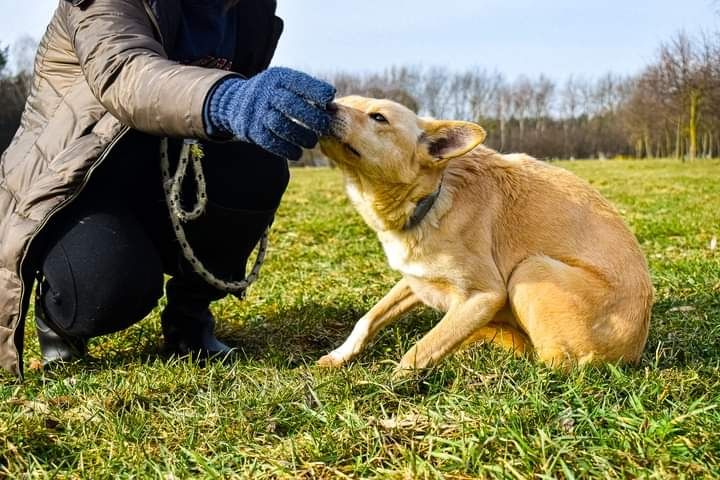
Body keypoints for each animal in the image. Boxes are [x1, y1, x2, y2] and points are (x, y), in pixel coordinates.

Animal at [318, 95, 656, 376]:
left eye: (378, 117)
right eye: (345, 99)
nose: (326, 104)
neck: (431, 198)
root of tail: (631, 353)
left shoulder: (485, 296)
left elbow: (419, 350)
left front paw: (390, 385)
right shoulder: (414, 279)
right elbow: (368, 319)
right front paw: (339, 356)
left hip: (530, 269)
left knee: (548, 361)